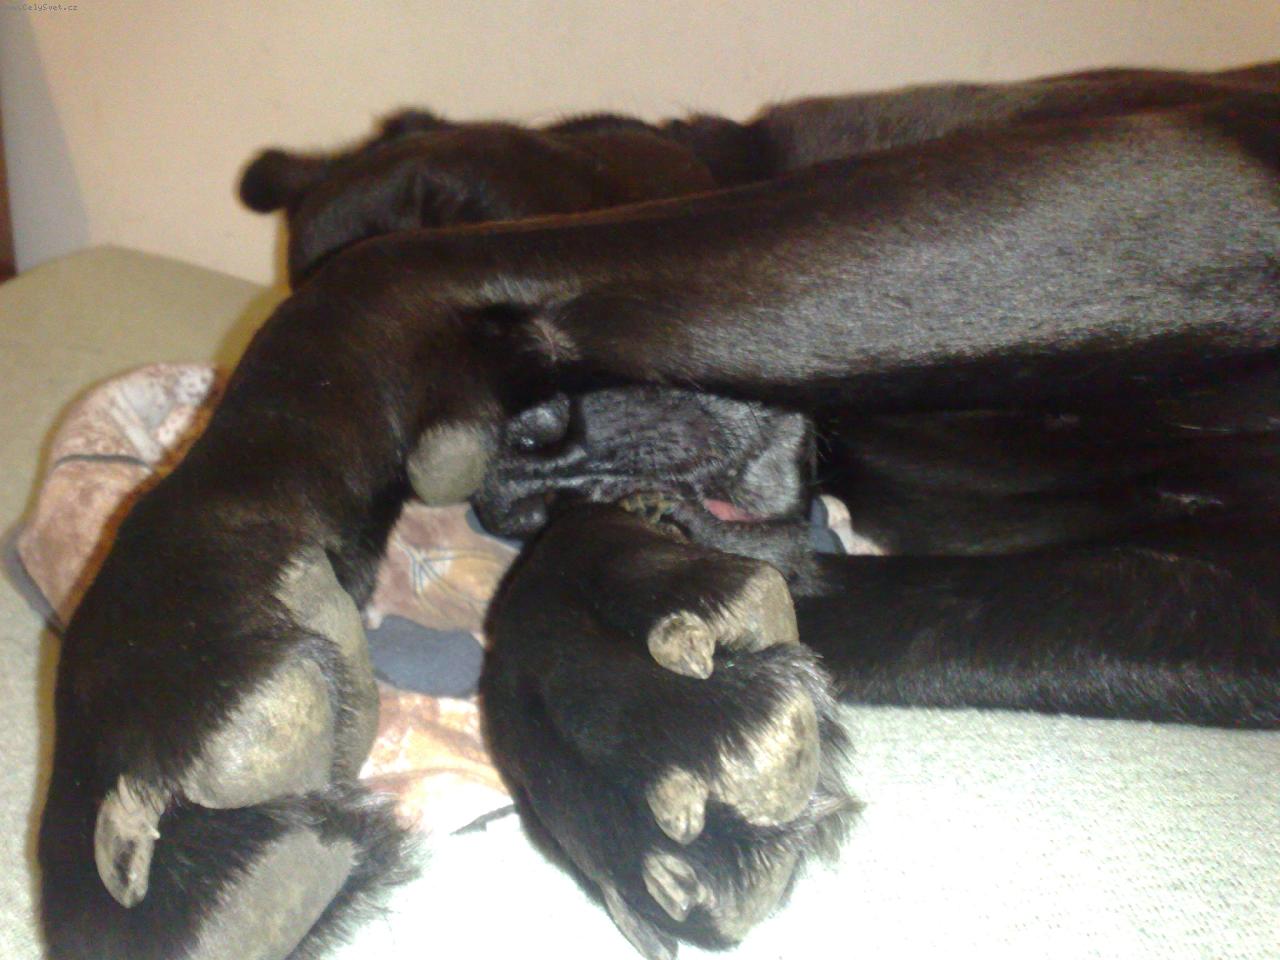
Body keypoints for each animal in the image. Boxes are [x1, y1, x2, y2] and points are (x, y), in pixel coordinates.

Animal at [38, 62, 1280, 960]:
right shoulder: (1209, 585)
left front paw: (168, 643)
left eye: (440, 194)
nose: (521, 457)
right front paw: (625, 700)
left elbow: (379, 283)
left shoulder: (1164, 167)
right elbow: (881, 606)